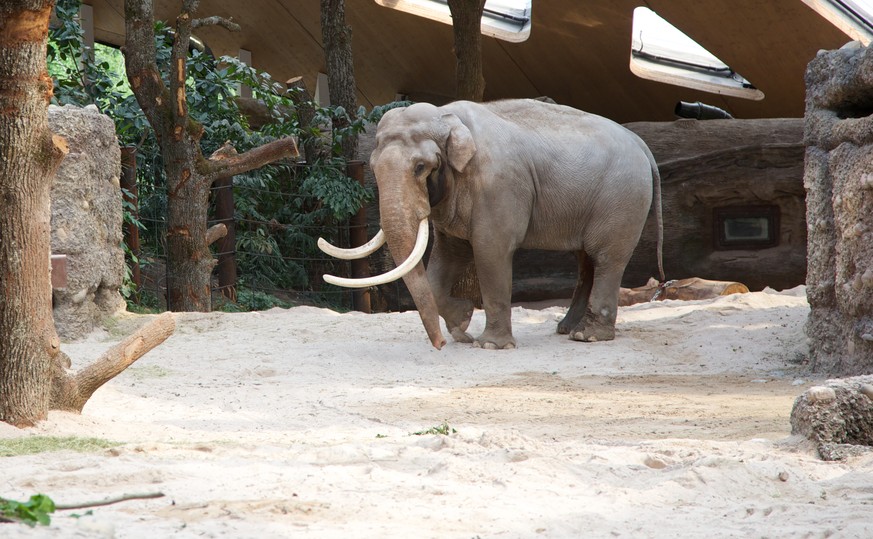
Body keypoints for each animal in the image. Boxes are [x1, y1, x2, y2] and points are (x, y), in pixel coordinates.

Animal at [318, 98, 660, 350]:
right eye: (373, 167)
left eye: (420, 167)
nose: (440, 345)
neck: (447, 117)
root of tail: (642, 144)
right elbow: (448, 254)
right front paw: (463, 325)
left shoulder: (498, 185)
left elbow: (489, 251)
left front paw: (489, 345)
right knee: (585, 260)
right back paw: (567, 330)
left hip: (622, 199)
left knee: (606, 259)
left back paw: (588, 337)